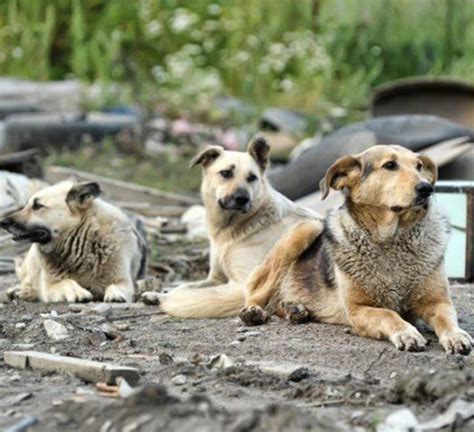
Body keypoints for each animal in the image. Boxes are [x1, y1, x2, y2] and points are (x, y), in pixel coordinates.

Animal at [0, 181, 147, 302]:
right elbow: (67, 281)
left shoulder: (124, 281)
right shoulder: (51, 286)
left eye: (37, 205)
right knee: (26, 282)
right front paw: (78, 292)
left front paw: (115, 293)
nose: (3, 222)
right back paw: (22, 292)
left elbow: (115, 286)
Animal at [141, 136, 324, 318]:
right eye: (226, 173)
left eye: (252, 177)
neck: (230, 232)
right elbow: (184, 286)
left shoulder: (242, 281)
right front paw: (158, 295)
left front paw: (165, 297)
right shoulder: (215, 279)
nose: (242, 199)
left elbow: (192, 293)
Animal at [243, 145, 472, 354]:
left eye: (419, 167)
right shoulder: (357, 309)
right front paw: (406, 332)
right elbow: (388, 314)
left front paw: (456, 335)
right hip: (307, 228)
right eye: (390, 165)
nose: (427, 188)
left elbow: (447, 319)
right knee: (257, 291)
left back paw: (295, 309)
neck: (392, 240)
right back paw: (254, 311)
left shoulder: (438, 302)